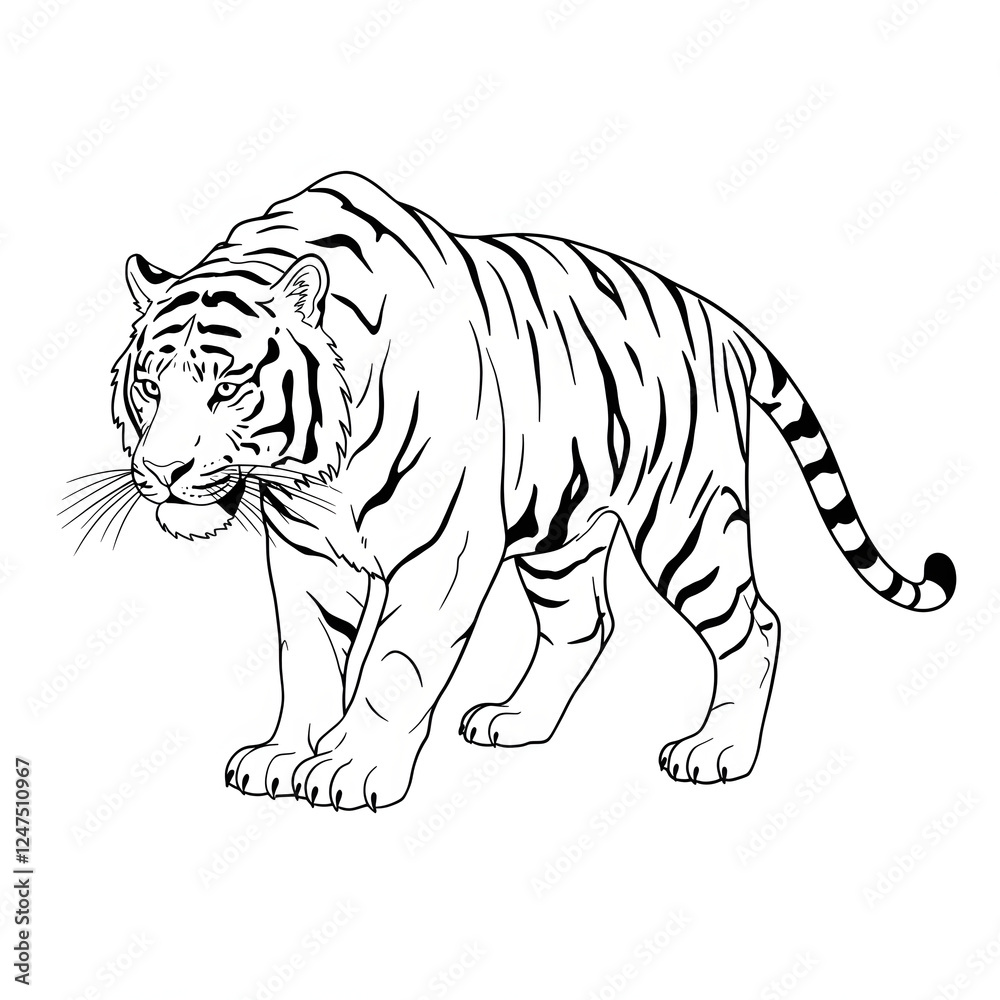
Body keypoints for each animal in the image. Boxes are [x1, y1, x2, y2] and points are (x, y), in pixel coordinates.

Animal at [92, 169, 955, 811]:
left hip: (687, 522)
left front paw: (352, 767)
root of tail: (717, 318)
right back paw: (518, 720)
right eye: (149, 387)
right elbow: (304, 655)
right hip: (561, 533)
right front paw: (284, 753)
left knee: (756, 624)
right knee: (587, 624)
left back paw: (719, 751)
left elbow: (396, 665)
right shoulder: (305, 551)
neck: (315, 471)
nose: (162, 471)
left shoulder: (441, 550)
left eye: (228, 388)